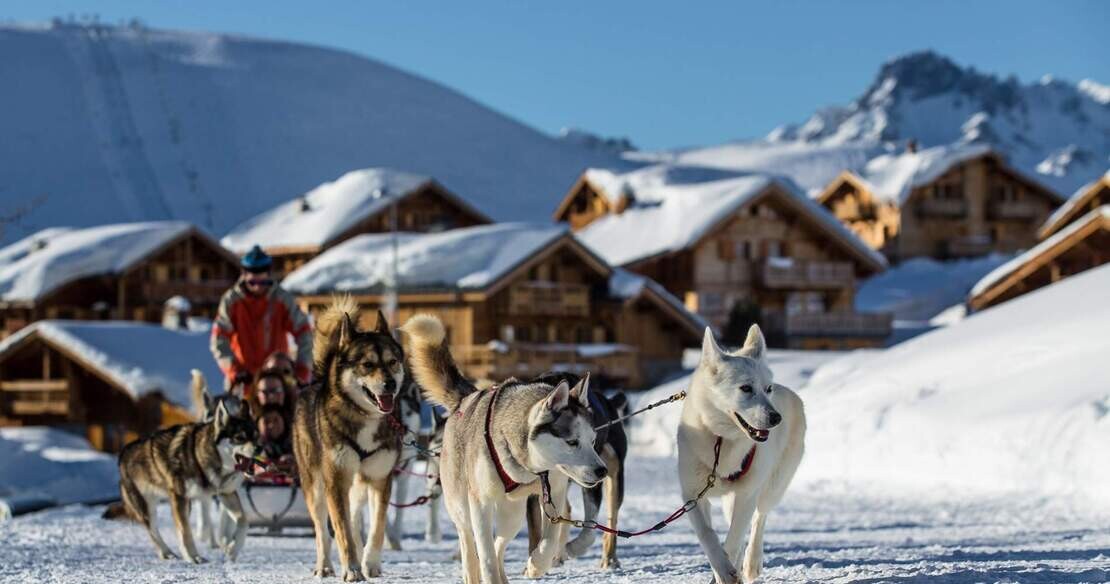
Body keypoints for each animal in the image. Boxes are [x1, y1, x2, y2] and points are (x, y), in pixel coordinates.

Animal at [116, 393, 257, 563]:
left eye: (256, 436)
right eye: (239, 437)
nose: (260, 448)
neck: (201, 456)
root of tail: (123, 452)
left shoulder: (226, 494)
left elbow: (244, 521)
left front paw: (232, 550)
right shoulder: (179, 496)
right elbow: (185, 531)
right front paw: (194, 557)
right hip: (148, 507)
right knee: (153, 531)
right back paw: (166, 553)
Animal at [292, 297, 404, 581]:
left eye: (393, 362)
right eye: (367, 365)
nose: (389, 385)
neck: (364, 416)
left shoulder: (380, 479)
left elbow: (376, 528)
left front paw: (370, 563)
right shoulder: (335, 481)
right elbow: (341, 532)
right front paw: (352, 569)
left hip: (359, 485)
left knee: (354, 519)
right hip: (316, 487)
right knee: (323, 530)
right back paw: (324, 566)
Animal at [402, 314, 607, 584]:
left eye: (592, 441)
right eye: (572, 442)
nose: (602, 471)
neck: (529, 467)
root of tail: (466, 399)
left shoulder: (554, 492)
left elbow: (549, 539)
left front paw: (536, 564)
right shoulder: (480, 502)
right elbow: (485, 553)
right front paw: (489, 572)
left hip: (513, 514)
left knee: (499, 543)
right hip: (461, 506)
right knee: (469, 542)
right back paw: (472, 573)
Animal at [524, 372, 629, 570]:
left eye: (592, 441)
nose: (601, 471)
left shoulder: (592, 483)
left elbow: (589, 530)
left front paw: (572, 548)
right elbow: (535, 530)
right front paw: (534, 563)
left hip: (615, 473)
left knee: (612, 518)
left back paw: (609, 558)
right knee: (566, 509)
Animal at [678, 326, 806, 584]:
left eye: (767, 389)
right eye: (746, 388)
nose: (776, 418)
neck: (720, 439)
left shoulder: (747, 493)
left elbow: (735, 538)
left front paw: (727, 571)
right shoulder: (692, 496)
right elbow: (707, 535)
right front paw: (723, 569)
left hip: (771, 487)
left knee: (758, 519)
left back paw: (751, 563)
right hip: (732, 499)